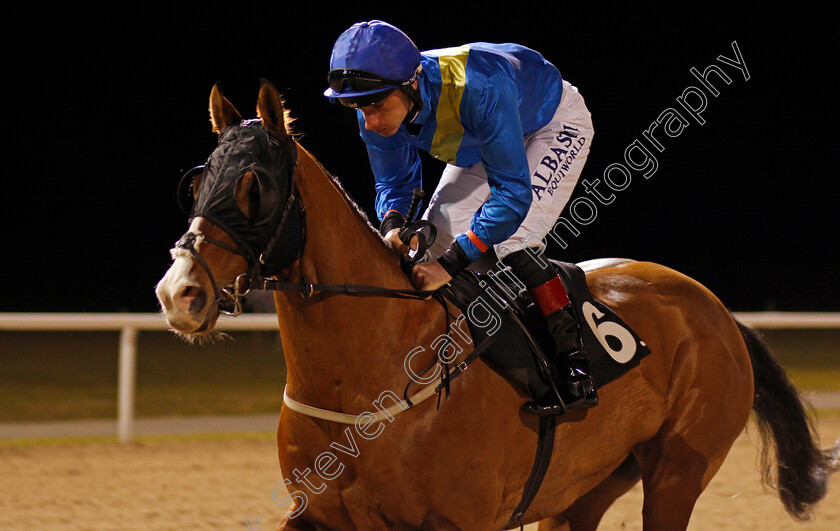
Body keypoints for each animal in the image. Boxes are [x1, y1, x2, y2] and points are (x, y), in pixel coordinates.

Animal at [154, 80, 836, 531]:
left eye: (255, 188)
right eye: (199, 181)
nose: (179, 292)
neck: (370, 377)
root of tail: (716, 310)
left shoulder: (464, 523)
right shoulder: (316, 516)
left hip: (677, 472)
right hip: (585, 487)